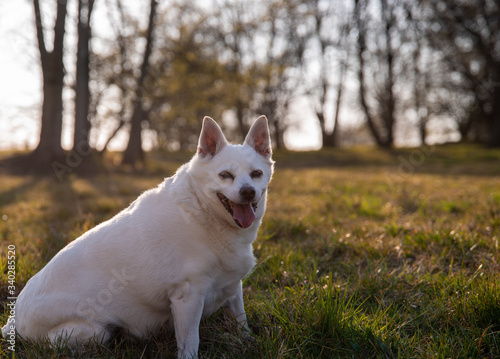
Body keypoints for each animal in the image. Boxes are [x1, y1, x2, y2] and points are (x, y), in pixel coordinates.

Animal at [1, 116, 274, 358]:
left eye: (257, 174)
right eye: (225, 175)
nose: (248, 192)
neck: (202, 211)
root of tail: (12, 322)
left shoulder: (233, 286)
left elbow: (241, 318)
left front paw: (249, 342)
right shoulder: (187, 297)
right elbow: (190, 342)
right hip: (94, 331)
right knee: (60, 345)